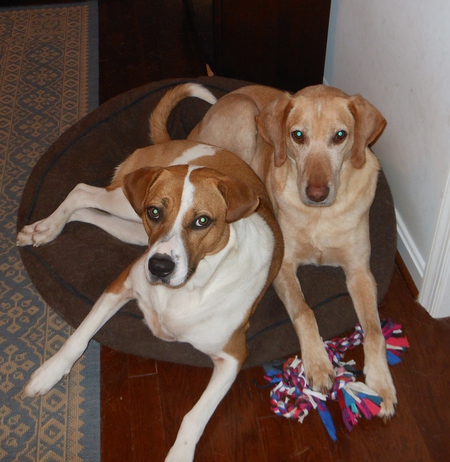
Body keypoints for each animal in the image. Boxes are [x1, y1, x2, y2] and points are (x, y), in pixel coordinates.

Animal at [19, 140, 284, 462]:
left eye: (202, 221)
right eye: (155, 211)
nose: (159, 267)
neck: (187, 287)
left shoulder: (233, 356)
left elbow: (194, 416)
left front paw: (179, 454)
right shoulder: (122, 283)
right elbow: (78, 338)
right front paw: (50, 373)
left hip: (132, 227)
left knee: (88, 210)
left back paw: (45, 228)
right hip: (128, 207)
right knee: (82, 191)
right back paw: (46, 227)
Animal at [150, 81, 398, 416]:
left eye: (340, 136)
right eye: (298, 135)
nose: (316, 193)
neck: (320, 216)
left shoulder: (360, 271)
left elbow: (373, 330)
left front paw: (382, 384)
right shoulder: (285, 266)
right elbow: (304, 311)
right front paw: (318, 364)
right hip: (244, 114)